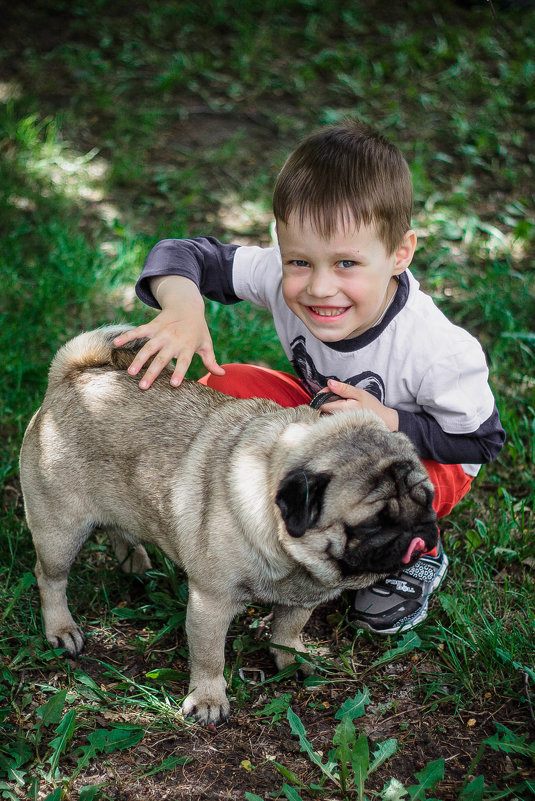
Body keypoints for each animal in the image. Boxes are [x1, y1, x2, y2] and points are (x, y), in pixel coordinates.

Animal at [21, 324, 440, 724]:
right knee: (50, 578)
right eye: (373, 523)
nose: (419, 531)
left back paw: (135, 565)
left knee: (117, 529)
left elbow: (288, 630)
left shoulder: (302, 599)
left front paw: (291, 659)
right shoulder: (211, 602)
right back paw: (61, 629)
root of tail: (72, 376)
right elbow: (209, 657)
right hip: (60, 531)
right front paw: (208, 700)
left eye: (428, 500)